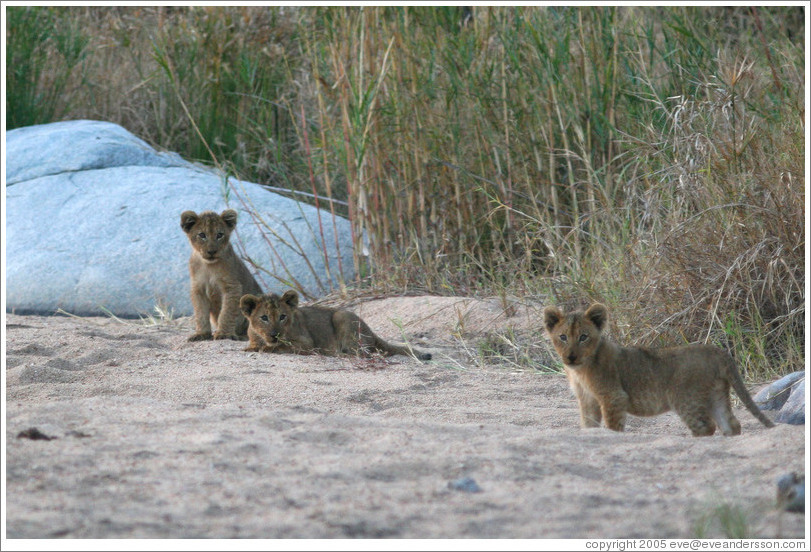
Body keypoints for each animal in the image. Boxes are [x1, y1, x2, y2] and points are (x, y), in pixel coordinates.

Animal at [180, 209, 263, 341]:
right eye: (202, 235)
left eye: (219, 235)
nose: (211, 251)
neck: (209, 266)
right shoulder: (198, 288)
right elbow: (200, 313)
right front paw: (201, 334)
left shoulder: (232, 286)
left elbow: (226, 312)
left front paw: (224, 334)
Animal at [239, 290, 432, 361]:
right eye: (264, 317)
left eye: (282, 317)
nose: (274, 334)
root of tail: (371, 332)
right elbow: (254, 345)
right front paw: (252, 348)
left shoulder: (306, 342)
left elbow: (281, 346)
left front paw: (267, 347)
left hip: (342, 316)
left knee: (362, 354)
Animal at [543, 303, 775, 436]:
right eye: (562, 337)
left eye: (583, 337)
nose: (571, 357)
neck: (580, 370)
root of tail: (717, 350)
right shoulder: (587, 400)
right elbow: (588, 425)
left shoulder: (613, 397)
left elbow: (612, 426)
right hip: (716, 393)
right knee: (730, 424)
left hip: (685, 398)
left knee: (706, 426)